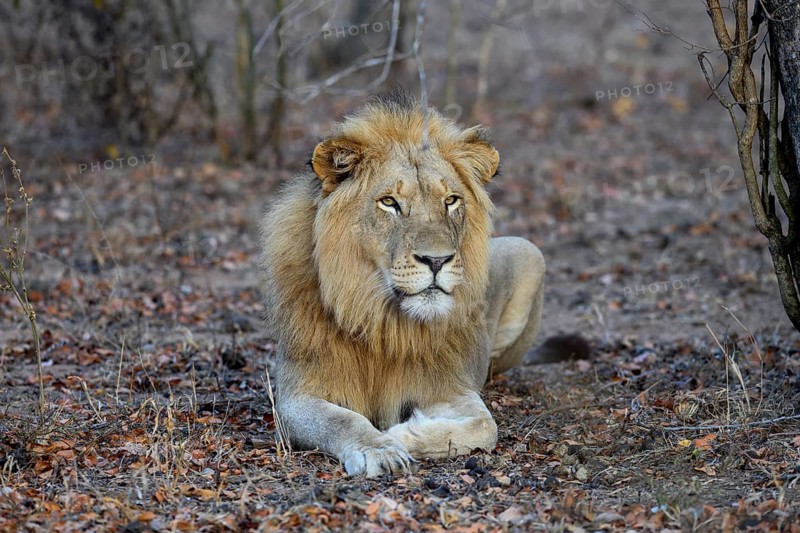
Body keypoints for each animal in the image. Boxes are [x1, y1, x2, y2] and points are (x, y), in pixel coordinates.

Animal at [259, 90, 582, 477]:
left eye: (451, 200)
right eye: (389, 202)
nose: (437, 261)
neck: (381, 318)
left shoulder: (449, 388)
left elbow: (484, 427)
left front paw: (401, 433)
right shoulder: (295, 397)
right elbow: (343, 420)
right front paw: (380, 448)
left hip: (530, 252)